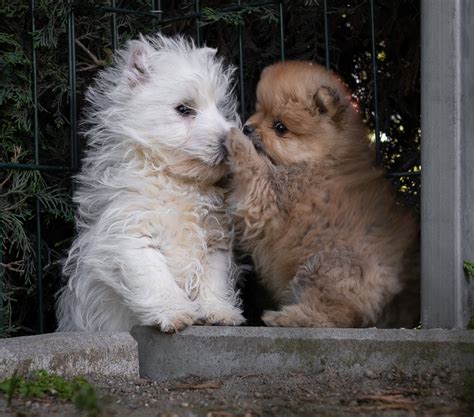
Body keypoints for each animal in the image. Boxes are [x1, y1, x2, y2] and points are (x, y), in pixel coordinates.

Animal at [56, 34, 244, 332]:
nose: (229, 142)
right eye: (184, 109)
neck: (176, 179)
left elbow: (213, 279)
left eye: (220, 110)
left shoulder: (215, 239)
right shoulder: (132, 234)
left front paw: (218, 312)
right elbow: (156, 277)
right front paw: (174, 312)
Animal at [228, 61, 420, 328]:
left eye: (280, 127)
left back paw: (286, 317)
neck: (323, 158)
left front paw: (233, 136)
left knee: (335, 315)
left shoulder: (275, 194)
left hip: (324, 264)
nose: (246, 127)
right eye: (258, 112)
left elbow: (256, 170)